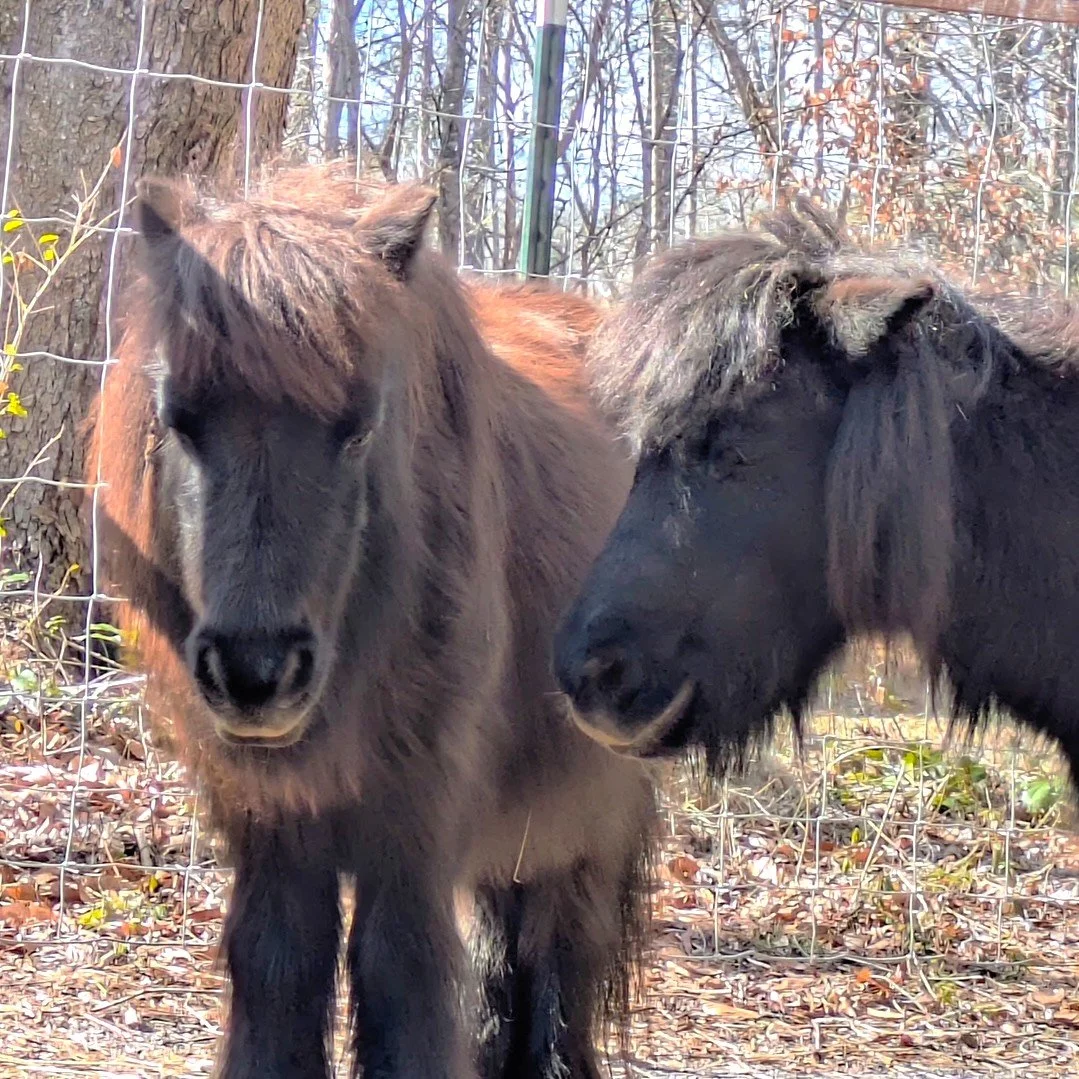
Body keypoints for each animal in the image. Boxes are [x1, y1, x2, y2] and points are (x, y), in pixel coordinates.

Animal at [87, 164, 656, 1079]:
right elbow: (279, 964)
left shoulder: (414, 823)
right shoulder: (273, 828)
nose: (255, 673)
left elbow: (400, 971)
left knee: (562, 938)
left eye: (357, 429)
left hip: (593, 802)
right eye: (179, 418)